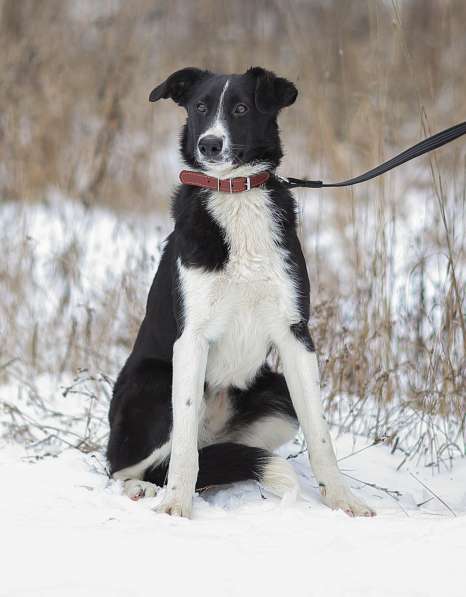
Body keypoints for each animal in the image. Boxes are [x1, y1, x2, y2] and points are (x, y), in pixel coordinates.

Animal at [105, 65, 374, 516]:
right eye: (199, 107)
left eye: (241, 108)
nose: (209, 144)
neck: (235, 195)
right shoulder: (191, 340)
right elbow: (183, 450)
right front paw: (176, 506)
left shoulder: (295, 336)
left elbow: (321, 435)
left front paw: (342, 499)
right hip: (156, 384)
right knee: (125, 466)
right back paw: (140, 488)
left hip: (277, 394)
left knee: (217, 458)